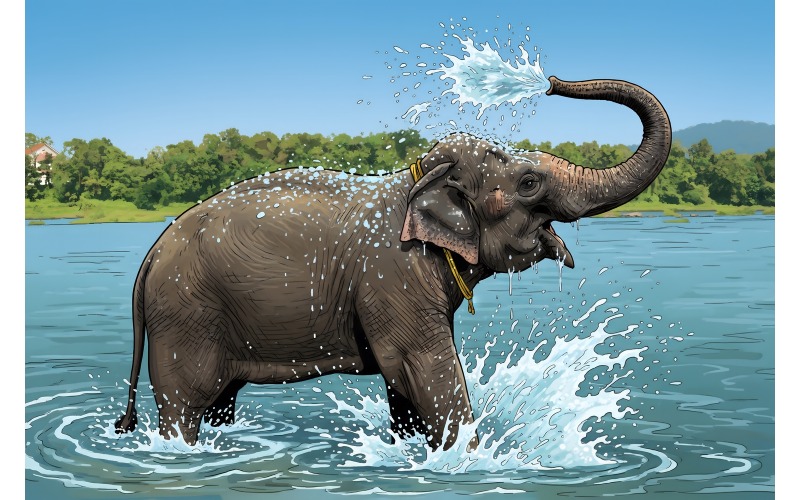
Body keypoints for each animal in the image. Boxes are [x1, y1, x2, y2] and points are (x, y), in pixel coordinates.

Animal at [115, 76, 671, 451]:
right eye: (529, 183)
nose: (551, 83)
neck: (417, 178)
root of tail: (150, 257)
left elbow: (402, 384)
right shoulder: (394, 274)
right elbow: (423, 367)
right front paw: (470, 461)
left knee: (222, 400)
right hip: (184, 317)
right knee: (185, 403)